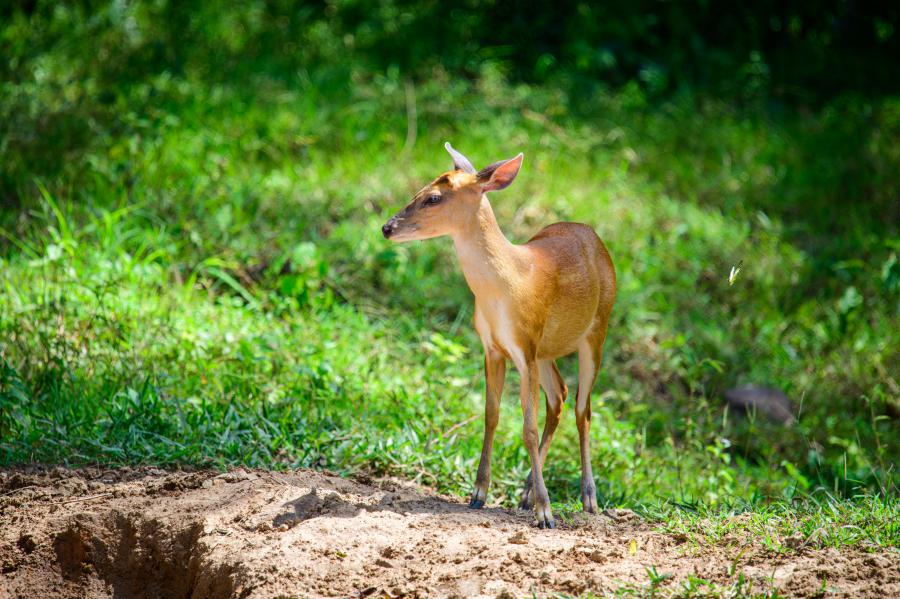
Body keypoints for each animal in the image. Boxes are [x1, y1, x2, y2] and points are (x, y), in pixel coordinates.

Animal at [381, 143, 616, 528]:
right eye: (419, 190)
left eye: (433, 198)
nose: (387, 227)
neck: (505, 286)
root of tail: (594, 236)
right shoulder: (493, 347)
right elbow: (491, 415)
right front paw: (478, 494)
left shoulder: (525, 345)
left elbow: (527, 428)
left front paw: (545, 512)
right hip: (547, 349)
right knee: (560, 397)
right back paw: (525, 494)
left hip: (597, 330)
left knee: (583, 408)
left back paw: (588, 499)